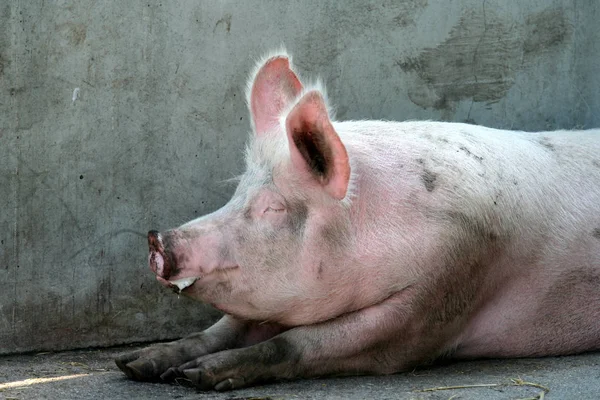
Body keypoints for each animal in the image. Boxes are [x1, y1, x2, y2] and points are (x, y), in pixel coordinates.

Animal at [116, 50, 600, 390]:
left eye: (273, 207)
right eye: (237, 192)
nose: (158, 238)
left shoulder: (445, 289)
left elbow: (305, 341)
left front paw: (196, 375)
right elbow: (228, 326)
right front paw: (136, 365)